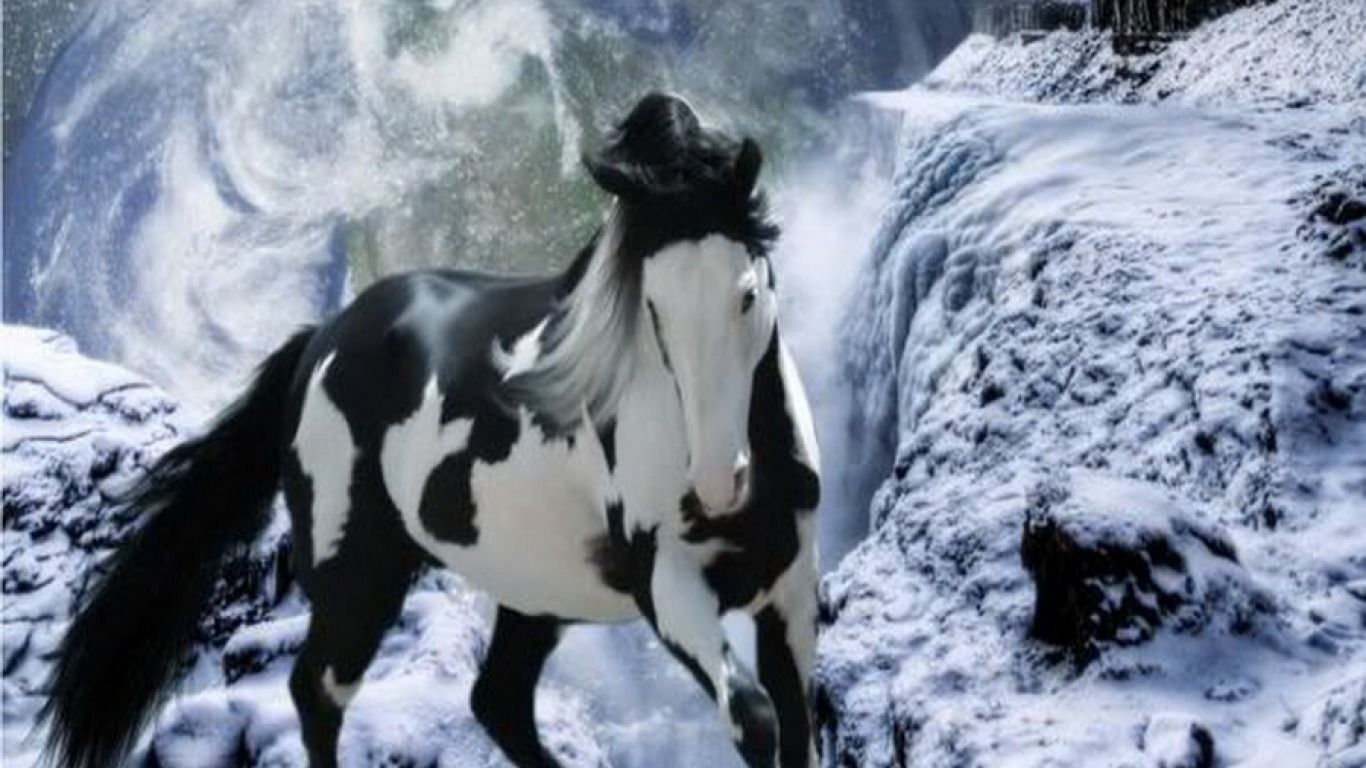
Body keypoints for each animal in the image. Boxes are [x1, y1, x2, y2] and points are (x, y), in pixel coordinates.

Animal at [41, 92, 821, 768]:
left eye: (746, 293)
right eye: (651, 309)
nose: (717, 482)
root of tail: (323, 338)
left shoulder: (788, 599)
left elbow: (795, 723)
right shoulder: (668, 586)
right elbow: (755, 719)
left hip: (530, 589)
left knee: (496, 702)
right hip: (358, 572)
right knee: (317, 690)